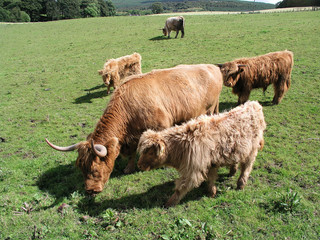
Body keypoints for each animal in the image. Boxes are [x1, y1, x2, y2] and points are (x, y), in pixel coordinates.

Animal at [46, 64, 222, 196]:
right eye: (81, 167)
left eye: (95, 169)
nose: (91, 190)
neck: (128, 107)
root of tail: (212, 66)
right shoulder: (131, 139)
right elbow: (131, 154)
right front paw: (129, 168)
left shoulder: (161, 127)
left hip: (210, 108)